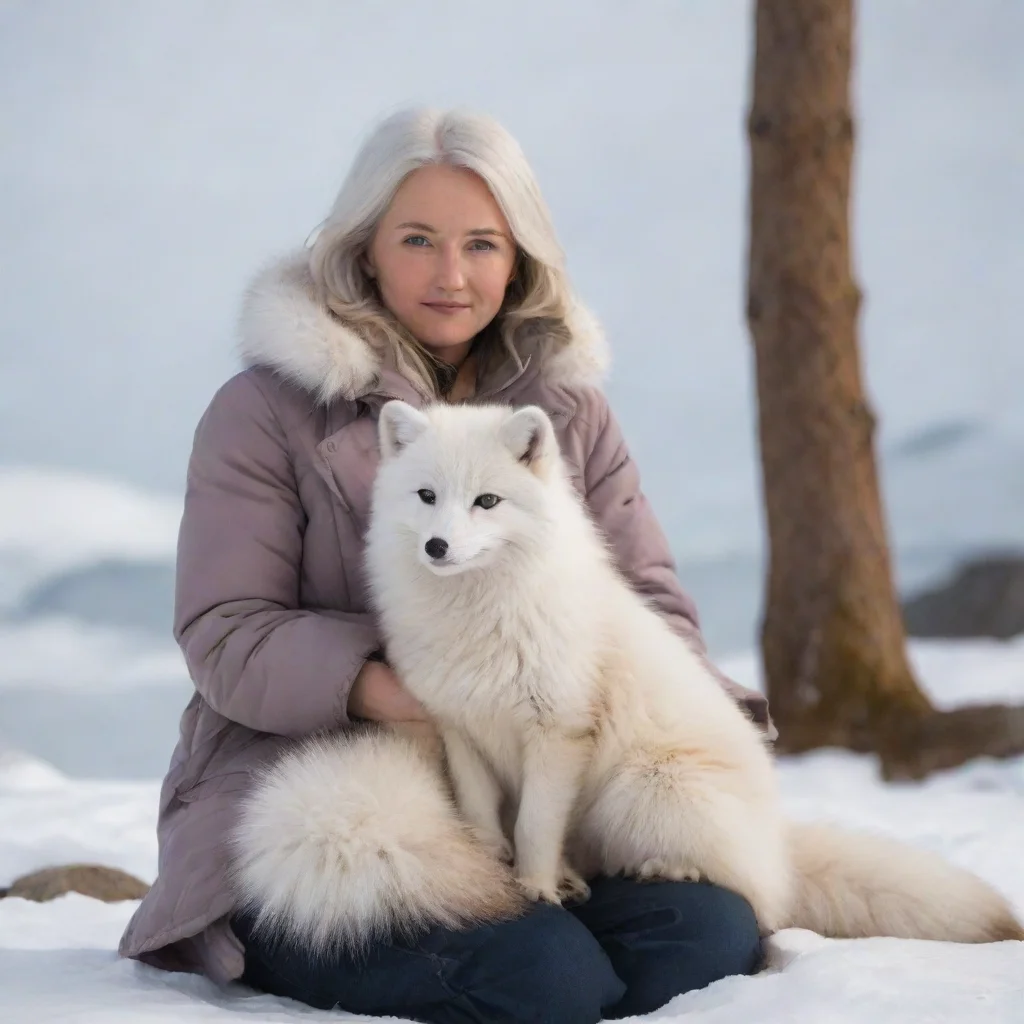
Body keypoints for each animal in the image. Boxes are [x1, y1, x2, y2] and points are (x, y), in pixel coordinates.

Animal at [232, 399, 1024, 950]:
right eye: (426, 496)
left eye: (486, 501)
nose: (437, 546)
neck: (479, 623)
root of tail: (777, 840)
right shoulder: (461, 728)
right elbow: (485, 815)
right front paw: (490, 864)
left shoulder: (558, 732)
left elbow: (537, 825)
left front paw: (532, 888)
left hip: (645, 787)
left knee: (754, 896)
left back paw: (666, 872)